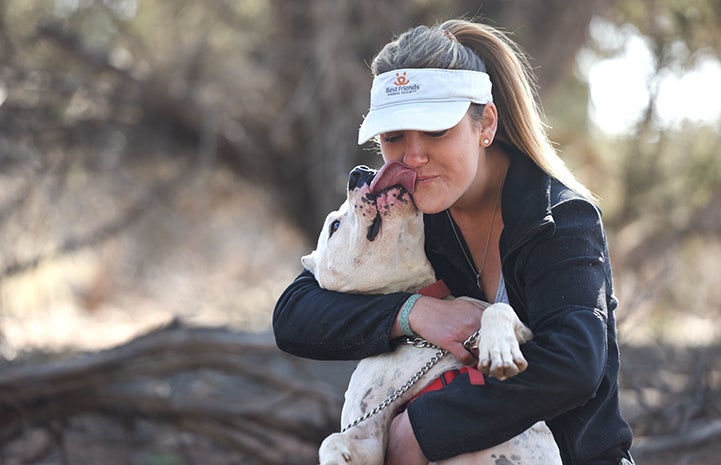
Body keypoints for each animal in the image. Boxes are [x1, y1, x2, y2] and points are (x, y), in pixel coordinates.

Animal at [300, 162, 560, 464]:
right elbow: (331, 440)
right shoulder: (367, 434)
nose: (358, 171)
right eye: (335, 225)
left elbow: (499, 308)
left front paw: (499, 349)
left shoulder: (523, 330)